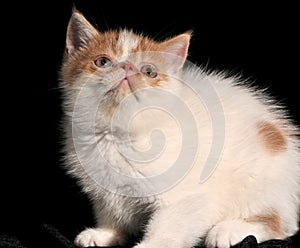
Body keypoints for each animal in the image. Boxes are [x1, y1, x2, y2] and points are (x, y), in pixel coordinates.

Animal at [59, 10, 300, 248]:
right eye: (102, 61)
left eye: (149, 71)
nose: (127, 67)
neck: (119, 134)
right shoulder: (103, 191)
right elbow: (111, 211)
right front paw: (106, 233)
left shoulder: (188, 194)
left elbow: (171, 224)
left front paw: (151, 244)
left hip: (258, 180)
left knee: (281, 224)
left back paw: (229, 231)